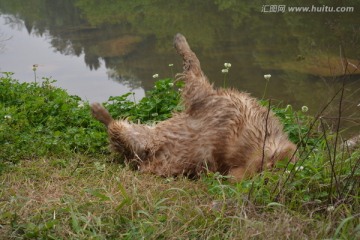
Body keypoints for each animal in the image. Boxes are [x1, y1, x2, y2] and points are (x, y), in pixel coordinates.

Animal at [91, 32, 296, 181]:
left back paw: (101, 113)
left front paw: (182, 45)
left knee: (118, 132)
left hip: (141, 140)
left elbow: (193, 68)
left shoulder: (204, 96)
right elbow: (194, 64)